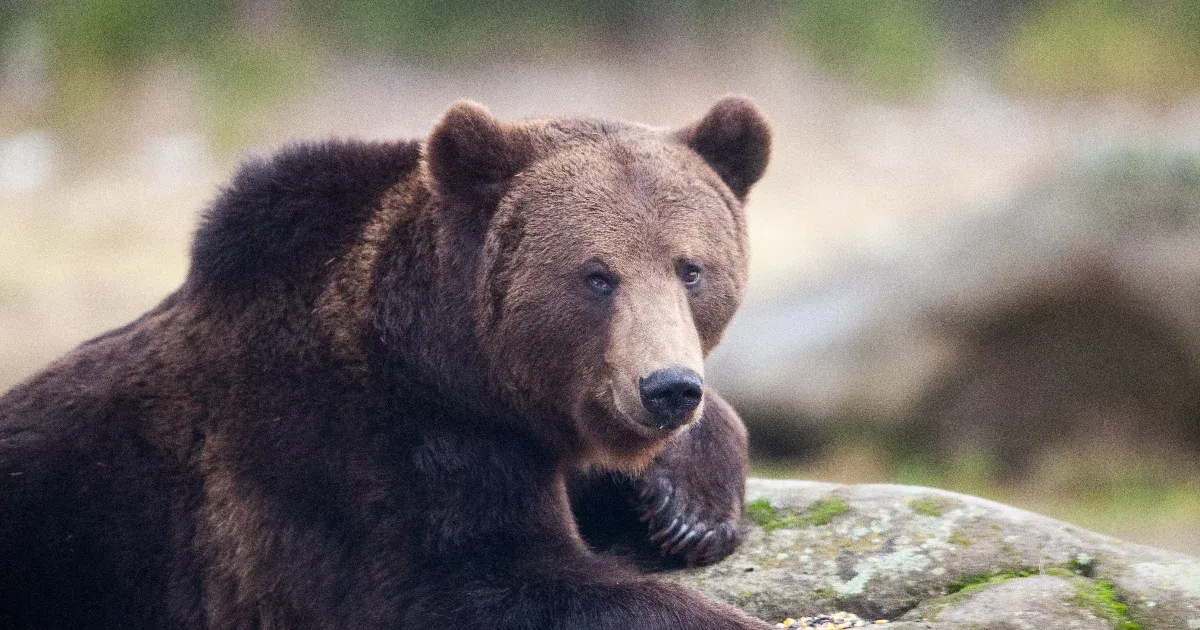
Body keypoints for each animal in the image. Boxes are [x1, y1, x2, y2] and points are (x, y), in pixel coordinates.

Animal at [0, 96, 768, 624]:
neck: (449, 362)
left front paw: (685, 506)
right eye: (597, 275)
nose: (667, 387)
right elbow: (481, 579)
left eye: (691, 269)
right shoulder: (358, 446)